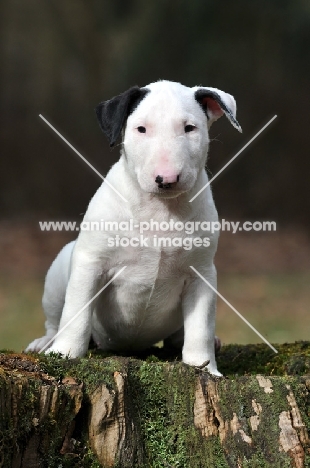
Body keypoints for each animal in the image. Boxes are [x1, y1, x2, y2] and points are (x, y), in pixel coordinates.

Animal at [25, 80, 241, 376]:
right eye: (141, 129)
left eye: (190, 128)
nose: (167, 178)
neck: (161, 210)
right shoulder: (91, 263)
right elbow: (77, 312)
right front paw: (65, 353)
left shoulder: (202, 273)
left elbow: (201, 326)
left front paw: (204, 368)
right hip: (59, 273)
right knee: (56, 319)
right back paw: (45, 342)